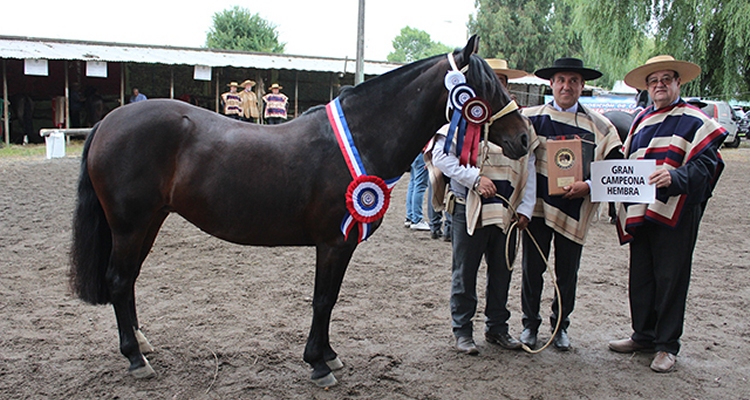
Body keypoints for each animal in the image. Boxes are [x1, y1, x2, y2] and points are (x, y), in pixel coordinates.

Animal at [69, 36, 528, 386]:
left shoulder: (342, 244)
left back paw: (142, 344)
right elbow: (323, 299)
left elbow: (331, 299)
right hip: (130, 225)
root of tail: (109, 121)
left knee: (127, 280)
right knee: (118, 280)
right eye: (485, 88)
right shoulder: (333, 243)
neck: (360, 138)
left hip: (148, 223)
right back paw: (135, 358)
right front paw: (318, 365)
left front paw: (329, 354)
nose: (524, 138)